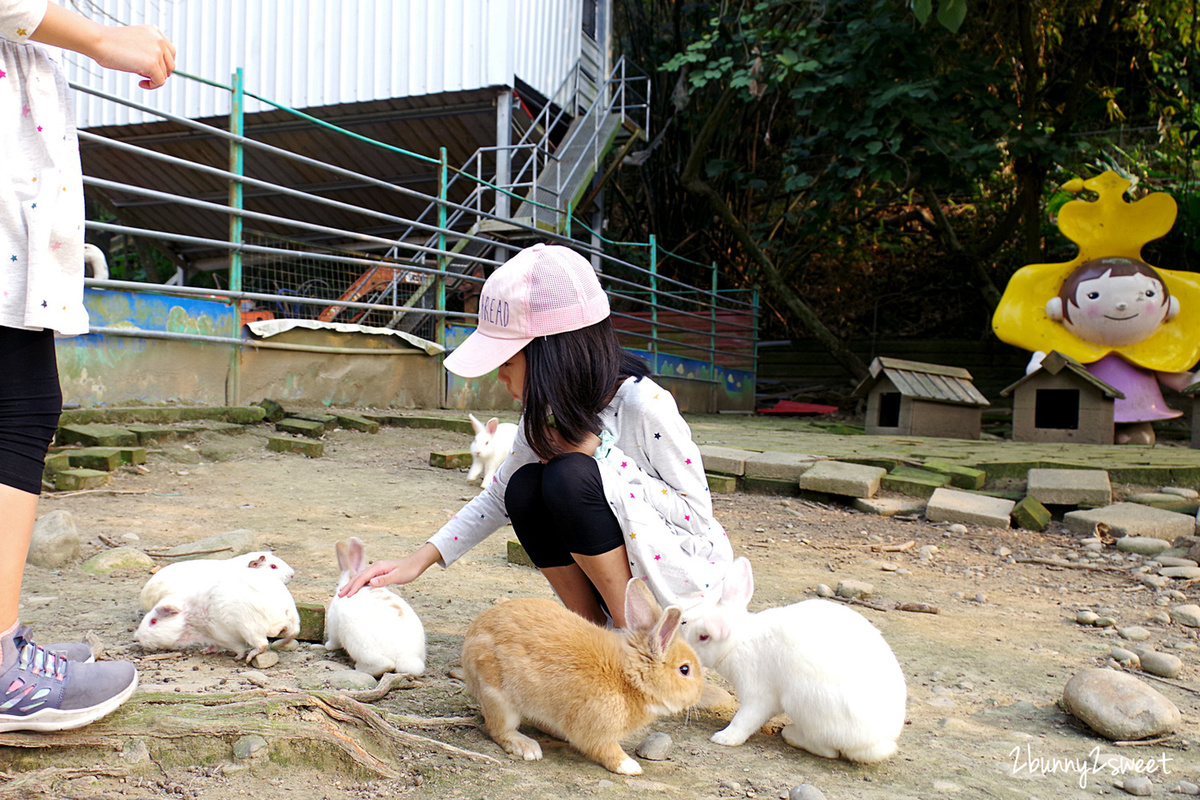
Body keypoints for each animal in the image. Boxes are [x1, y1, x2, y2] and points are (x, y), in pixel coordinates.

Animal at [135, 568, 300, 662]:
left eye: (153, 621)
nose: (137, 637)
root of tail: (288, 611)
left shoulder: (224, 638)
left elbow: (238, 648)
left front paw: (238, 657)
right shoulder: (212, 638)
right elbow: (212, 646)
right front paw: (204, 651)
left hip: (251, 632)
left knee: (263, 645)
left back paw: (247, 658)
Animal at [324, 534, 427, 681]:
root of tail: (406, 656)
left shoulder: (333, 626)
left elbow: (333, 641)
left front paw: (328, 646)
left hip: (362, 647)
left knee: (385, 665)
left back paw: (360, 667)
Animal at [458, 575, 700, 777]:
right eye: (684, 669)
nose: (698, 695)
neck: (627, 679)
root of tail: (471, 638)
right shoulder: (596, 729)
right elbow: (606, 749)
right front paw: (630, 766)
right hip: (497, 697)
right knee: (499, 730)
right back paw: (527, 747)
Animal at [681, 556, 902, 762]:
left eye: (703, 637)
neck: (738, 642)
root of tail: (875, 744)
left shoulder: (758, 693)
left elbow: (745, 719)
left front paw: (723, 738)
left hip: (801, 702)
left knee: (828, 751)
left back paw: (791, 735)